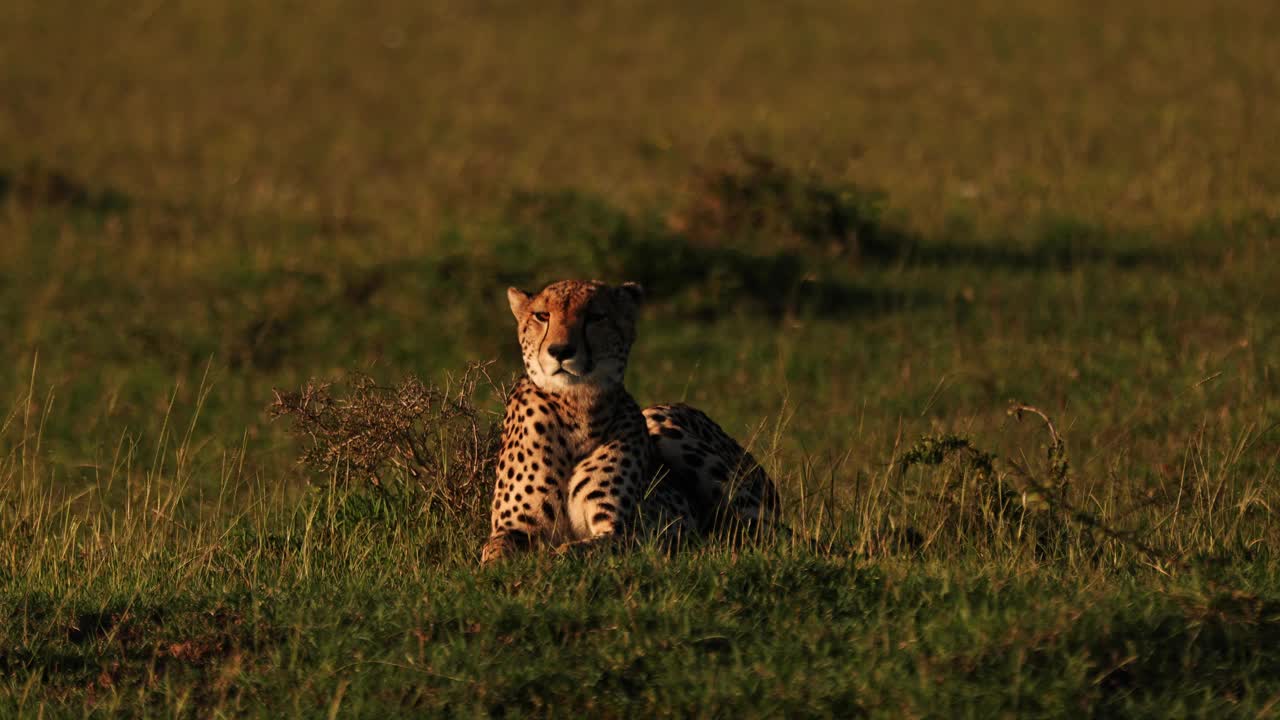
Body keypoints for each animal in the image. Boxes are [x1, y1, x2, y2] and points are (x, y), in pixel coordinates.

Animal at [481, 278, 778, 563]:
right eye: (542, 315)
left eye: (595, 317)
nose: (561, 350)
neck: (575, 406)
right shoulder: (512, 528)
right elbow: (495, 554)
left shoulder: (623, 531)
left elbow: (570, 552)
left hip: (662, 421)